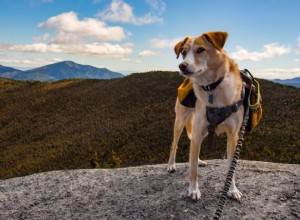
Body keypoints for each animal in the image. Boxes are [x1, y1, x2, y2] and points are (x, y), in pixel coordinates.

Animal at [168, 31, 245, 201]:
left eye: (200, 50)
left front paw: (232, 189)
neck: (213, 88)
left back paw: (199, 160)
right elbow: (193, 170)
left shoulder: (233, 136)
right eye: (183, 52)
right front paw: (193, 190)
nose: (182, 66)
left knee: (194, 152)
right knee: (174, 144)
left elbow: (231, 168)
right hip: (180, 122)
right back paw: (171, 165)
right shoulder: (197, 131)